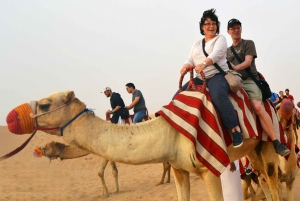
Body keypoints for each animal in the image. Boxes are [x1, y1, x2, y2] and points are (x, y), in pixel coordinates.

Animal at [8, 90, 284, 200]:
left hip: (270, 138)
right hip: (253, 149)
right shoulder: (180, 168)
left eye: (45, 104)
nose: (10, 118)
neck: (168, 130)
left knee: (274, 179)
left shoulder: (208, 168)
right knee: (263, 177)